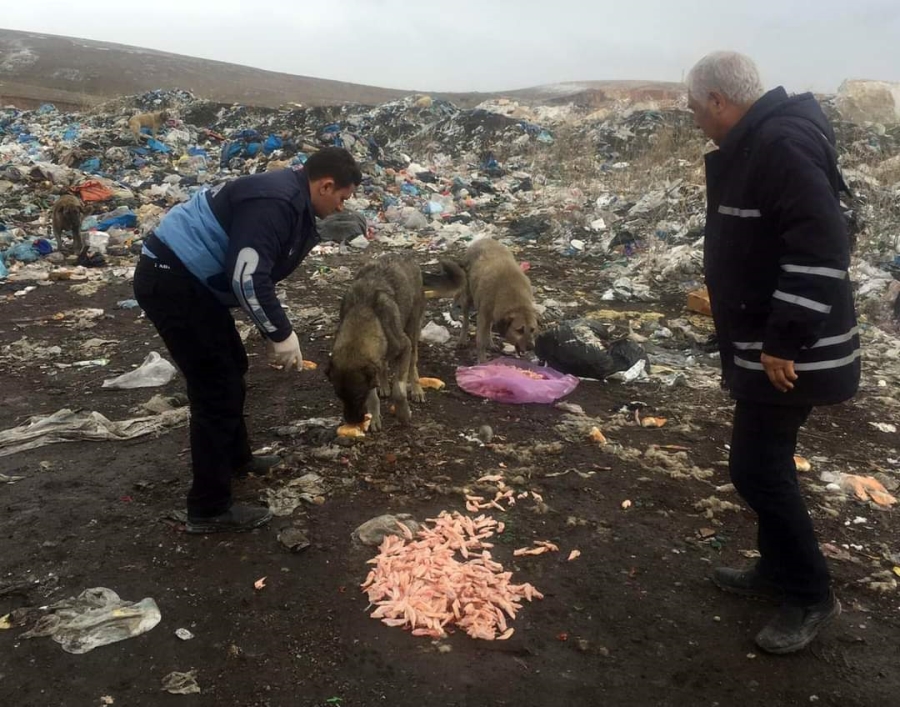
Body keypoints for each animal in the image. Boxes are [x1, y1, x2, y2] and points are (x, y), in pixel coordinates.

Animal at [326, 254, 464, 432]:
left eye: (358, 396)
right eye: (339, 396)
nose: (351, 421)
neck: (364, 312)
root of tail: (405, 256)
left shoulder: (404, 347)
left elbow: (399, 391)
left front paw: (403, 414)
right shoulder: (371, 366)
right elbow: (373, 395)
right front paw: (374, 416)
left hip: (413, 330)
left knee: (412, 363)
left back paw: (416, 390)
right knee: (384, 366)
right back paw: (384, 385)